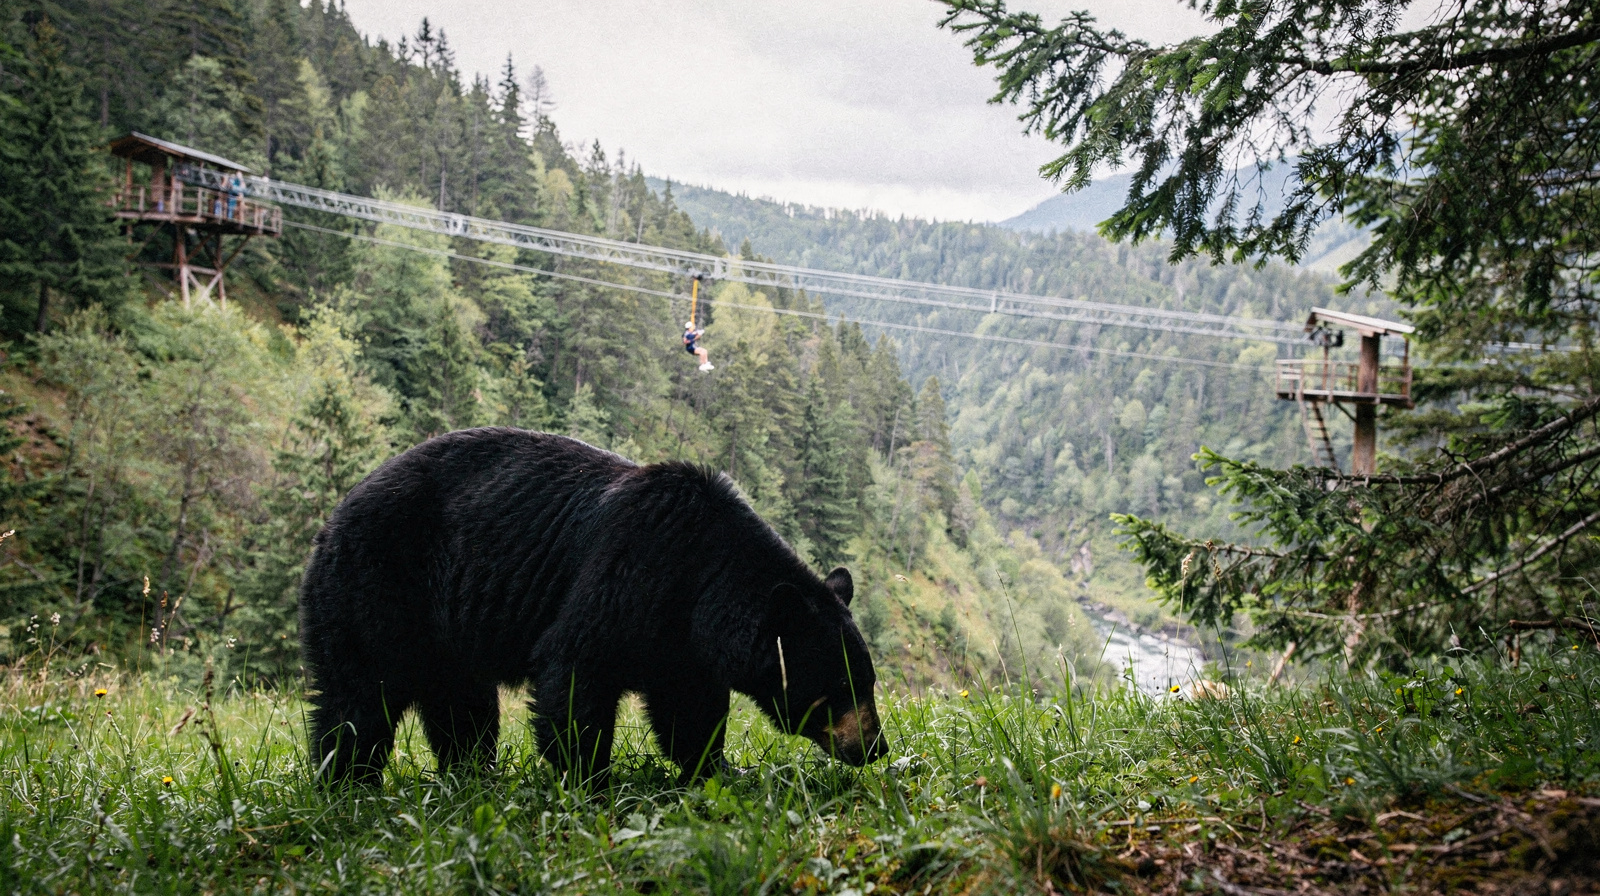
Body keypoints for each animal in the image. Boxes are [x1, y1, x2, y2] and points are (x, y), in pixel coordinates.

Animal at [299, 427, 888, 786]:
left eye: (869, 681)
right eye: (841, 687)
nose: (874, 746)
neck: (705, 576)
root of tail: (331, 519)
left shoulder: (680, 640)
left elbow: (690, 709)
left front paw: (716, 770)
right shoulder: (632, 572)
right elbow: (574, 671)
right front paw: (590, 781)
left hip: (446, 637)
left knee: (463, 708)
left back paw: (471, 774)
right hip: (376, 585)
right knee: (360, 697)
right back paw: (346, 780)